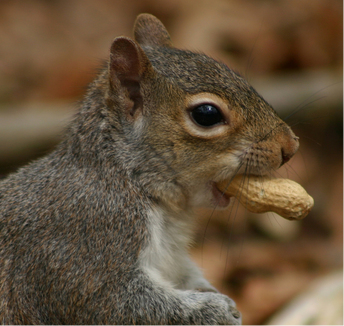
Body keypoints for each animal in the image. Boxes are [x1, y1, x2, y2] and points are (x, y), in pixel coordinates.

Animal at [0, 13, 298, 326]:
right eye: (206, 114)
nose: (290, 146)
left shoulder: (173, 258)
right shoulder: (86, 241)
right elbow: (117, 304)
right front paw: (216, 309)